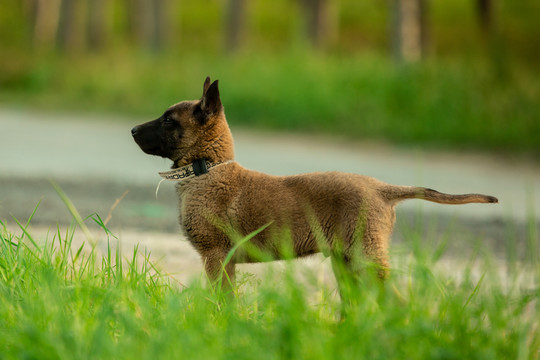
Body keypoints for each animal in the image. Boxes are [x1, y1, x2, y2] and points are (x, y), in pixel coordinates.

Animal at [131, 79, 498, 298]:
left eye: (168, 120)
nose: (133, 130)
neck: (207, 170)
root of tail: (382, 188)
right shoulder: (224, 261)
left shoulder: (216, 256)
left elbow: (221, 300)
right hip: (346, 263)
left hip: (366, 259)